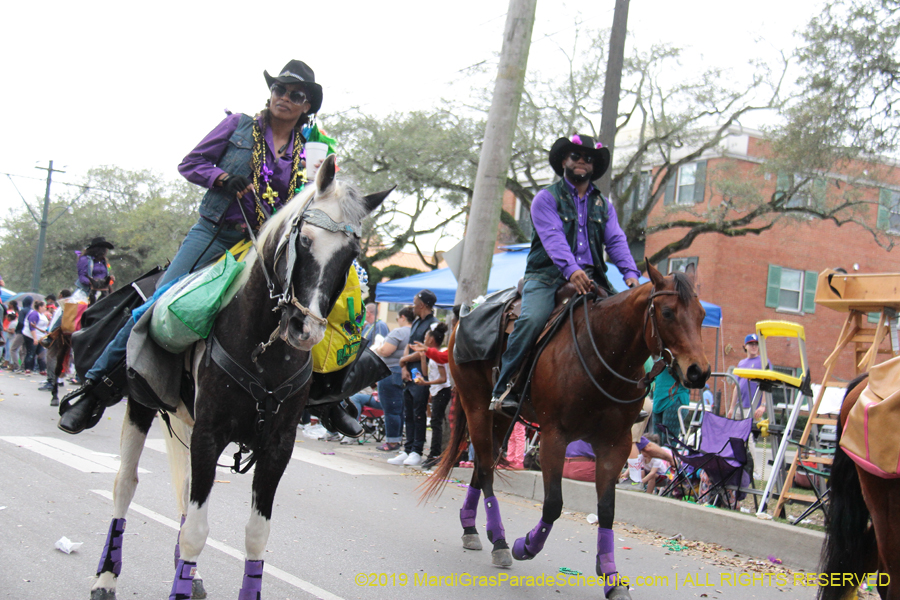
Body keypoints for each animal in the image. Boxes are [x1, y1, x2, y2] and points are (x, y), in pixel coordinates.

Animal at [89, 155, 390, 600]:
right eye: (304, 241)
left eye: (351, 253)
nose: (306, 330)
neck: (265, 355)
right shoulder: (209, 434)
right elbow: (196, 532)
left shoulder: (276, 448)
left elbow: (255, 535)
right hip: (142, 407)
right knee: (125, 484)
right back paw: (106, 577)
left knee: (181, 490)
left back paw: (188, 575)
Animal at [422, 266, 712, 600]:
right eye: (667, 312)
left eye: (702, 314)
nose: (699, 372)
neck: (604, 353)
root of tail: (463, 316)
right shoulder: (554, 437)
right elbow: (553, 504)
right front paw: (525, 546)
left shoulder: (615, 445)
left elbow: (607, 510)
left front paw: (611, 577)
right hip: (477, 405)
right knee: (484, 470)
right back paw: (501, 542)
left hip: (501, 419)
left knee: (483, 468)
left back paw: (472, 528)